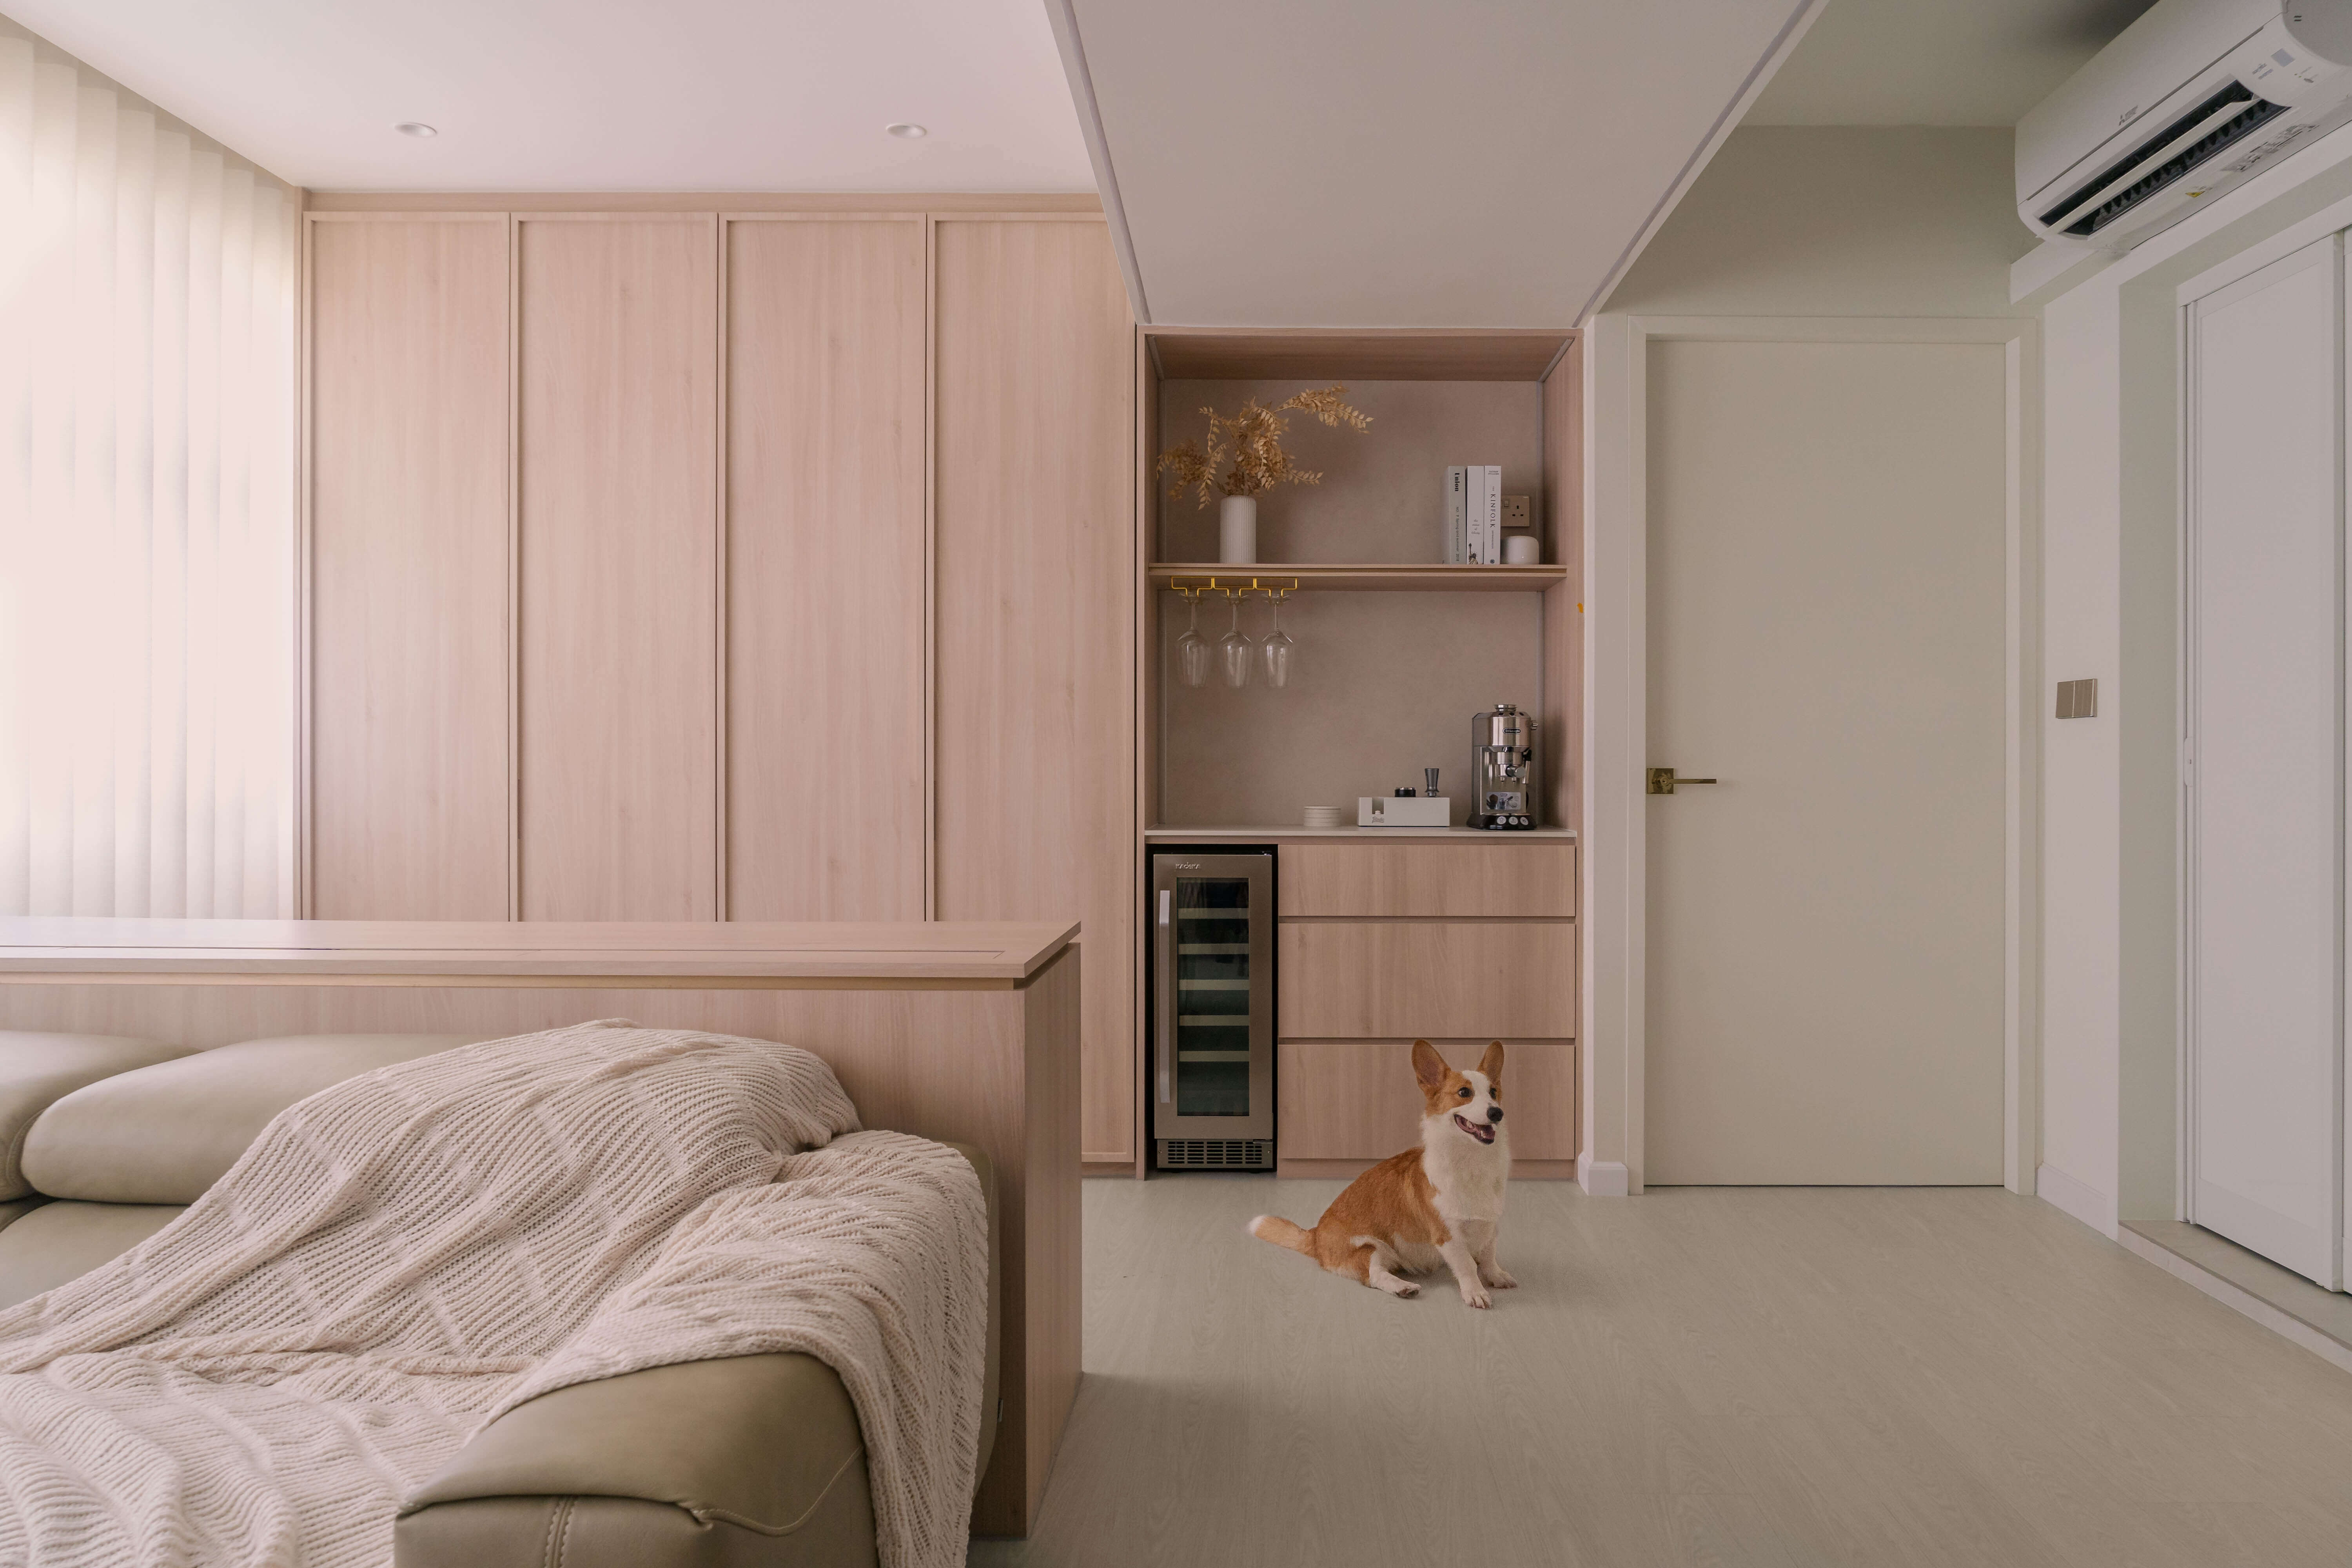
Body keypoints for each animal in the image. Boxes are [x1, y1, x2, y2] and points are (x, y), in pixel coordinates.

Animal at [1242, 1044, 1515, 1316]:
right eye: (1464, 1093)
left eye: (1493, 1092)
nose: (1497, 1113)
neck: (1473, 1160)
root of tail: (1315, 1236)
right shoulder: (1448, 1236)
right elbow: (1467, 1265)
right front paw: (1476, 1292)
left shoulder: (1490, 1226)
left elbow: (1488, 1257)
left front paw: (1497, 1277)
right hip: (1371, 1248)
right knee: (1374, 1275)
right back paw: (1403, 1287)